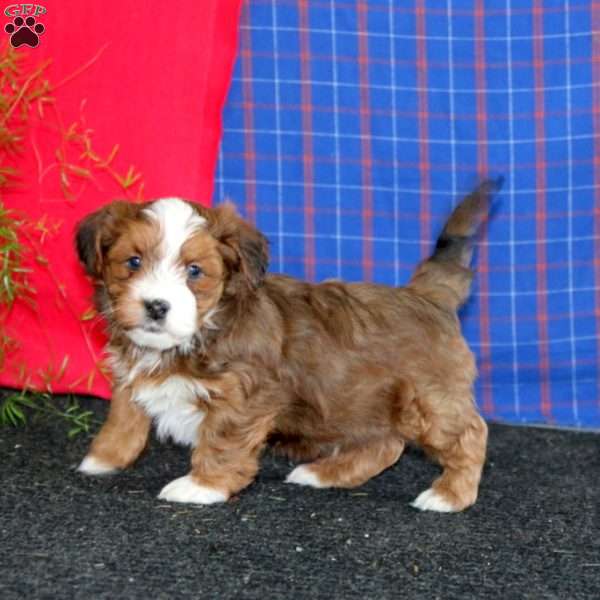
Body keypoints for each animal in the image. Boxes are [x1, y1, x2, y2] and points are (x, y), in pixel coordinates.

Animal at [74, 182, 496, 510]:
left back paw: (450, 495)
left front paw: (202, 485)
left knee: (470, 434)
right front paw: (104, 457)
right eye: (133, 262)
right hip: (365, 401)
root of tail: (427, 296)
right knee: (385, 445)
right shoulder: (132, 376)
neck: (199, 331)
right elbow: (124, 416)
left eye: (195, 271)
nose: (156, 306)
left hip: (429, 401)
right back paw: (325, 473)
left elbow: (222, 440)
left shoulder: (243, 397)